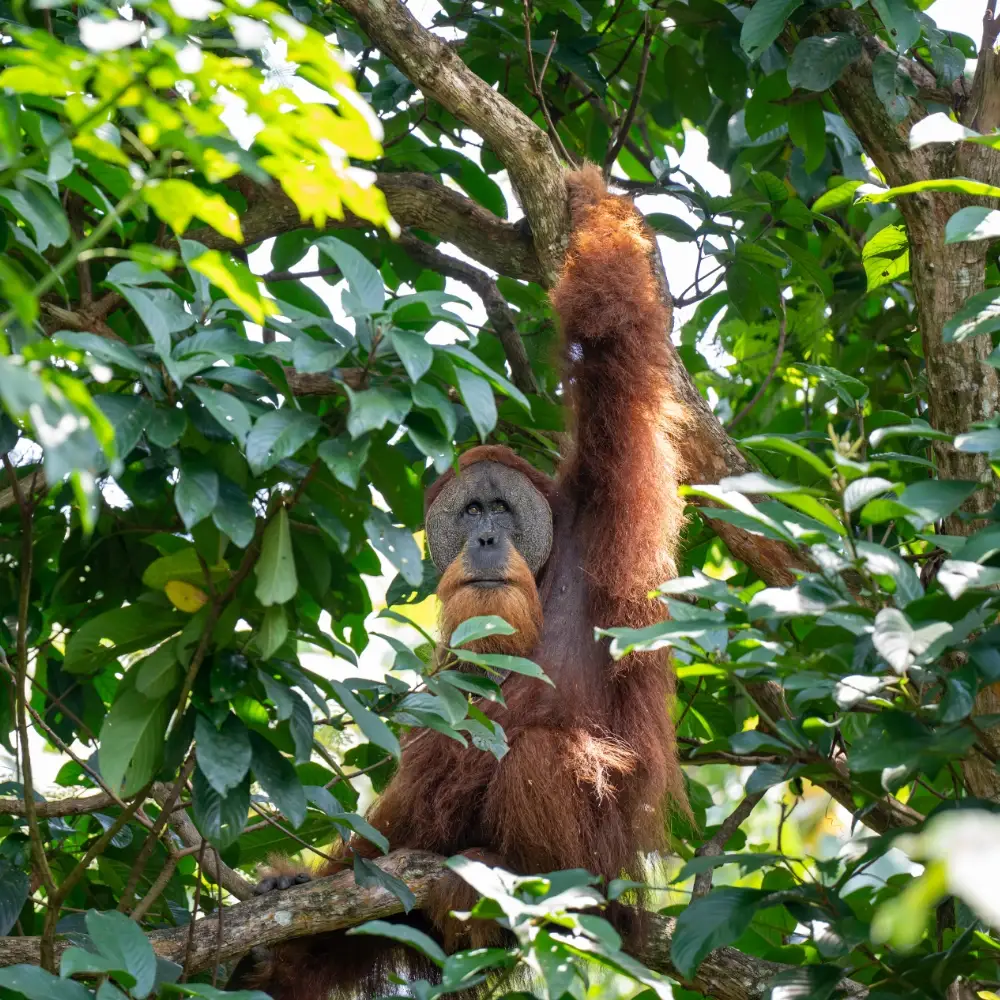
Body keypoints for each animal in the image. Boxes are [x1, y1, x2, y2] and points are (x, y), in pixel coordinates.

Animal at [228, 163, 692, 999]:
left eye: (501, 511)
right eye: (471, 510)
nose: (481, 537)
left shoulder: (602, 503)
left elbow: (610, 346)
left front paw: (586, 197)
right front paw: (296, 893)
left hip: (606, 864)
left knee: (542, 755)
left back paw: (511, 874)